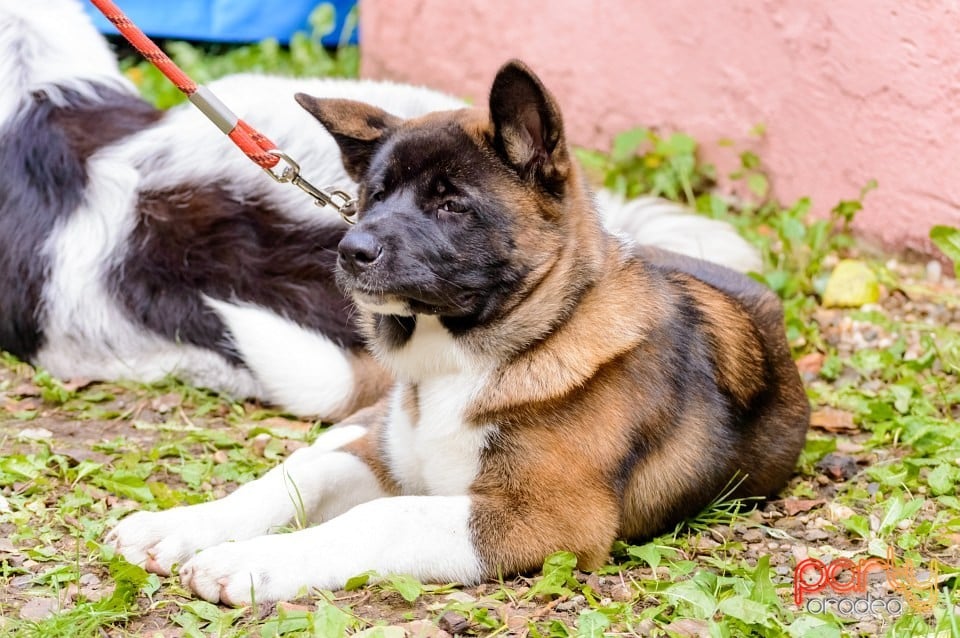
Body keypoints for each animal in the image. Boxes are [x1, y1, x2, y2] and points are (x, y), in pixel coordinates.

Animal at [107, 60, 808, 604]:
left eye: (451, 204)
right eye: (374, 196)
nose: (349, 250)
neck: (457, 363)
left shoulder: (548, 520)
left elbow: (382, 517)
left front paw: (254, 562)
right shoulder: (393, 462)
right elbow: (309, 480)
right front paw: (199, 529)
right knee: (314, 453)